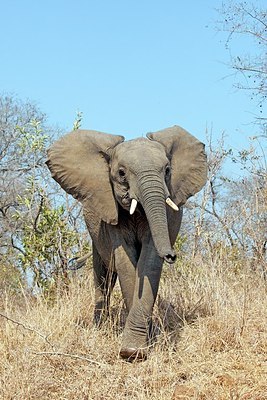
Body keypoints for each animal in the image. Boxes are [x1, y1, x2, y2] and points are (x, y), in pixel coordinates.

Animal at [46, 124, 207, 360]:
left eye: (167, 171)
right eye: (121, 173)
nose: (171, 256)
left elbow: (149, 262)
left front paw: (140, 347)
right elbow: (126, 264)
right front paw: (133, 352)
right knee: (103, 278)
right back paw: (100, 327)